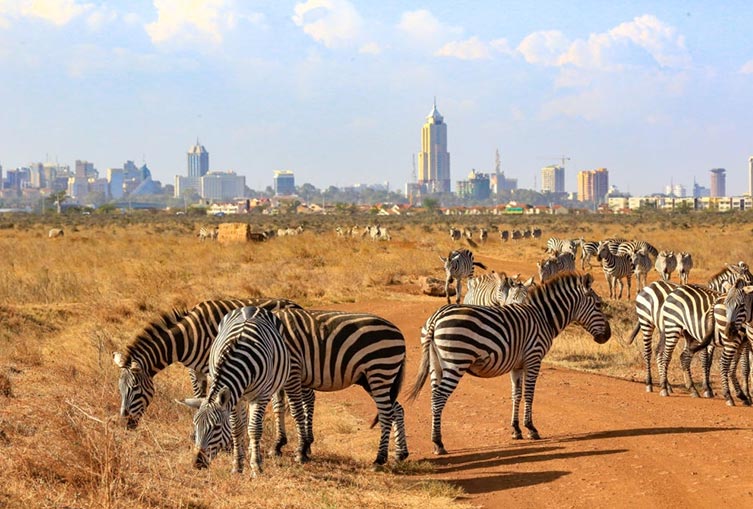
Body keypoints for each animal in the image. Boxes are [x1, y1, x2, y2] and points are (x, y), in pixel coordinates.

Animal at [111, 298, 300, 428]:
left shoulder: (212, 368)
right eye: (120, 389)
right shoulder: (195, 370)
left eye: (135, 388)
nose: (125, 423)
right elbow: (199, 397)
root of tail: (295, 304)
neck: (187, 337)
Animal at [181, 306, 290, 476]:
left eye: (216, 427)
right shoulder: (233, 398)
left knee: (258, 421)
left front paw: (256, 466)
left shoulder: (261, 396)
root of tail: (251, 307)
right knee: (244, 422)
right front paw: (237, 465)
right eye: (195, 425)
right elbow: (236, 428)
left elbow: (254, 429)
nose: (197, 463)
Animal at [406, 274, 612, 452]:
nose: (608, 336)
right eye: (599, 304)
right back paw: (438, 443)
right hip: (456, 362)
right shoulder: (533, 358)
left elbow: (516, 395)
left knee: (434, 397)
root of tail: (436, 318)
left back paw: (436, 440)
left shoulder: (517, 365)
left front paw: (516, 430)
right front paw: (531, 429)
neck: (543, 317)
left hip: (436, 364)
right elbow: (529, 395)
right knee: (439, 397)